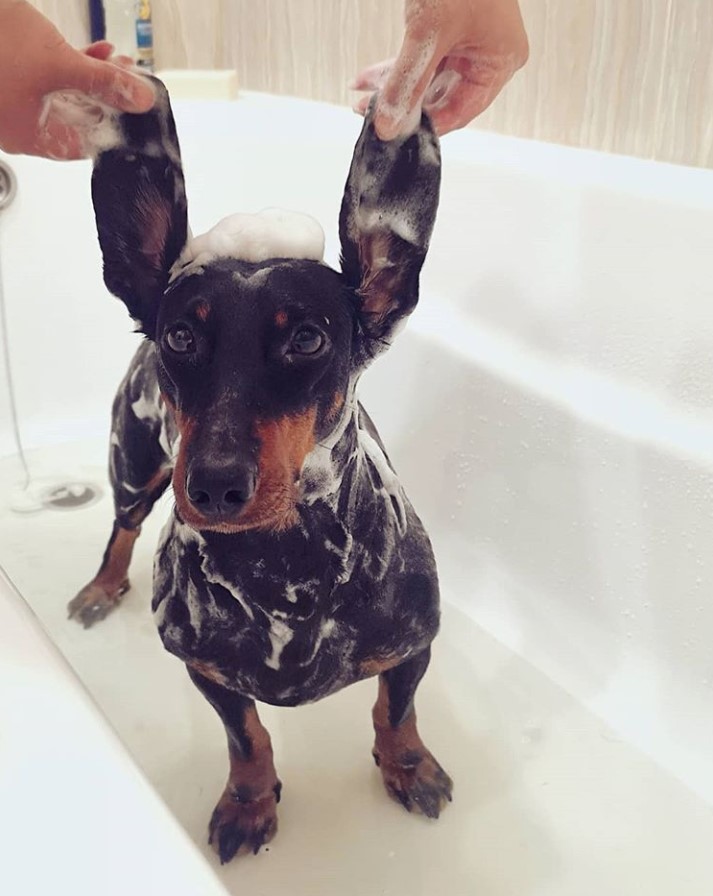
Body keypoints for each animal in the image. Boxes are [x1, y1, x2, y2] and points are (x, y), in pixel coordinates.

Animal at [71, 82, 450, 860]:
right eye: (180, 335)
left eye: (306, 337)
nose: (214, 486)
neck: (284, 570)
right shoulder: (206, 670)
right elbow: (246, 737)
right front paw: (248, 803)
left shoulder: (414, 647)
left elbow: (396, 711)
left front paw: (408, 766)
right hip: (135, 464)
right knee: (121, 527)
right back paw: (100, 586)